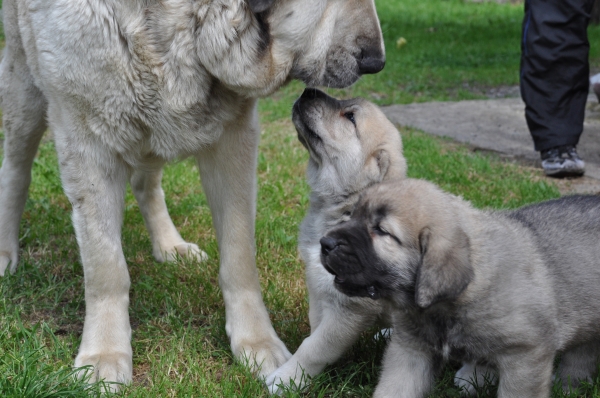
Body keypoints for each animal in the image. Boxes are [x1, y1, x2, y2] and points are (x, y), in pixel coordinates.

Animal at [0, 0, 384, 388]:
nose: (376, 61)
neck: (184, 20)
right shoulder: (87, 142)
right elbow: (105, 266)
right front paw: (104, 354)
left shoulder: (234, 138)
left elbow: (239, 256)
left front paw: (255, 341)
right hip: (25, 93)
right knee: (16, 170)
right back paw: (5, 251)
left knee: (145, 183)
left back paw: (170, 245)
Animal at [264, 88, 406, 394]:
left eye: (350, 117)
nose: (309, 90)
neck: (339, 210)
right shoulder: (320, 292)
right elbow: (315, 330)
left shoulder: (349, 309)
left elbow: (314, 346)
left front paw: (284, 379)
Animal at [322, 178, 600, 398]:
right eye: (352, 215)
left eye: (381, 231)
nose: (325, 243)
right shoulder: (410, 350)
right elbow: (394, 388)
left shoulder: (526, 356)